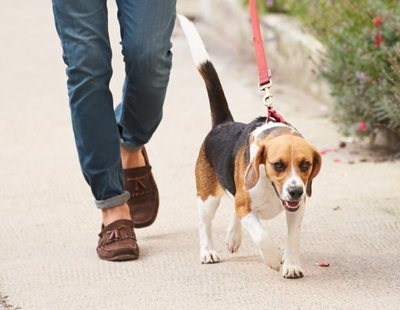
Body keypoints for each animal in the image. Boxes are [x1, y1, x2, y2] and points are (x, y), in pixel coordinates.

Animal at [179, 15, 322, 280]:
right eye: (278, 165)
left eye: (306, 164)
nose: (296, 191)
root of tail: (223, 123)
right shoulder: (247, 207)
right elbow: (262, 236)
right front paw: (273, 259)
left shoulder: (297, 209)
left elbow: (293, 238)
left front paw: (291, 264)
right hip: (207, 198)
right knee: (205, 223)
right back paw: (208, 251)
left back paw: (233, 238)